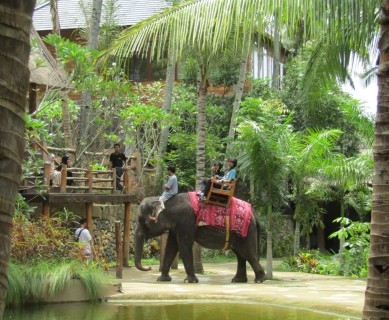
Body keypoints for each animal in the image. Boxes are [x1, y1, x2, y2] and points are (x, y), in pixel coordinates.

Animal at [134, 192, 266, 282]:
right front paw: (162, 280)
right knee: (241, 254)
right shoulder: (176, 226)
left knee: (248, 254)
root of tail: (254, 213)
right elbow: (171, 247)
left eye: (141, 221)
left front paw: (190, 281)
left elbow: (184, 245)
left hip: (247, 232)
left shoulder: (186, 220)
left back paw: (260, 280)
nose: (149, 267)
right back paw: (238, 280)